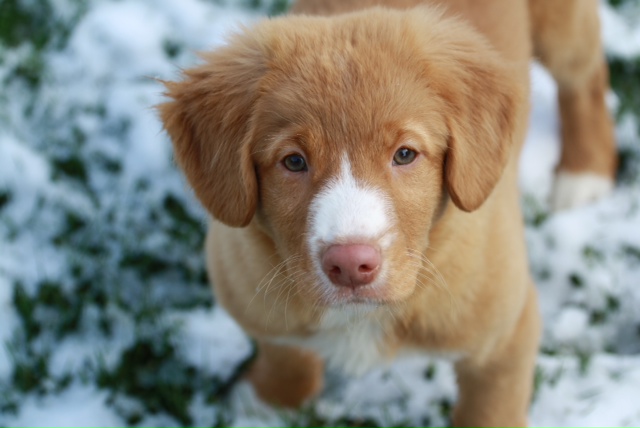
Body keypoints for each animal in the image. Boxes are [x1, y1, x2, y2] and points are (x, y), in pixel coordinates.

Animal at [159, 0, 616, 428]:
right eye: (293, 162)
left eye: (405, 154)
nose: (349, 264)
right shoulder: (252, 294)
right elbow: (285, 352)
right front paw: (265, 402)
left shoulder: (505, 335)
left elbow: (488, 412)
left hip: (561, 28)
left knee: (585, 74)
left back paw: (584, 173)